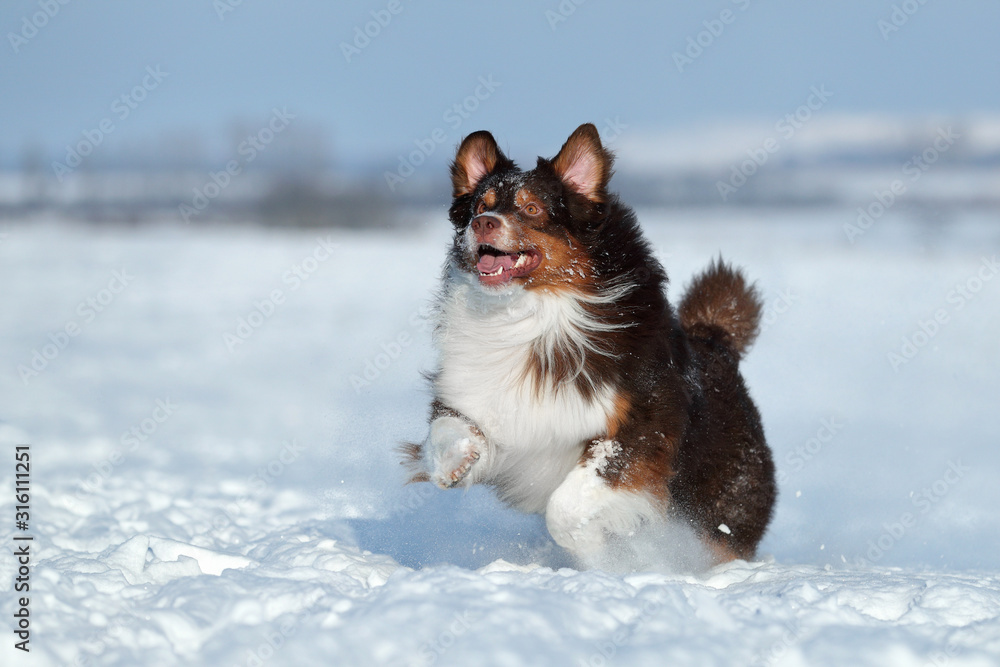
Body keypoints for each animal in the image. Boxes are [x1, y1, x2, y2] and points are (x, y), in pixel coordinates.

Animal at [402, 125, 776, 576]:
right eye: (480, 205)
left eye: (531, 208)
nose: (484, 224)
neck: (531, 314)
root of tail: (716, 343)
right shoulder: (479, 395)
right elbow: (446, 428)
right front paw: (458, 460)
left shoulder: (641, 426)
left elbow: (566, 506)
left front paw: (602, 558)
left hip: (720, 510)